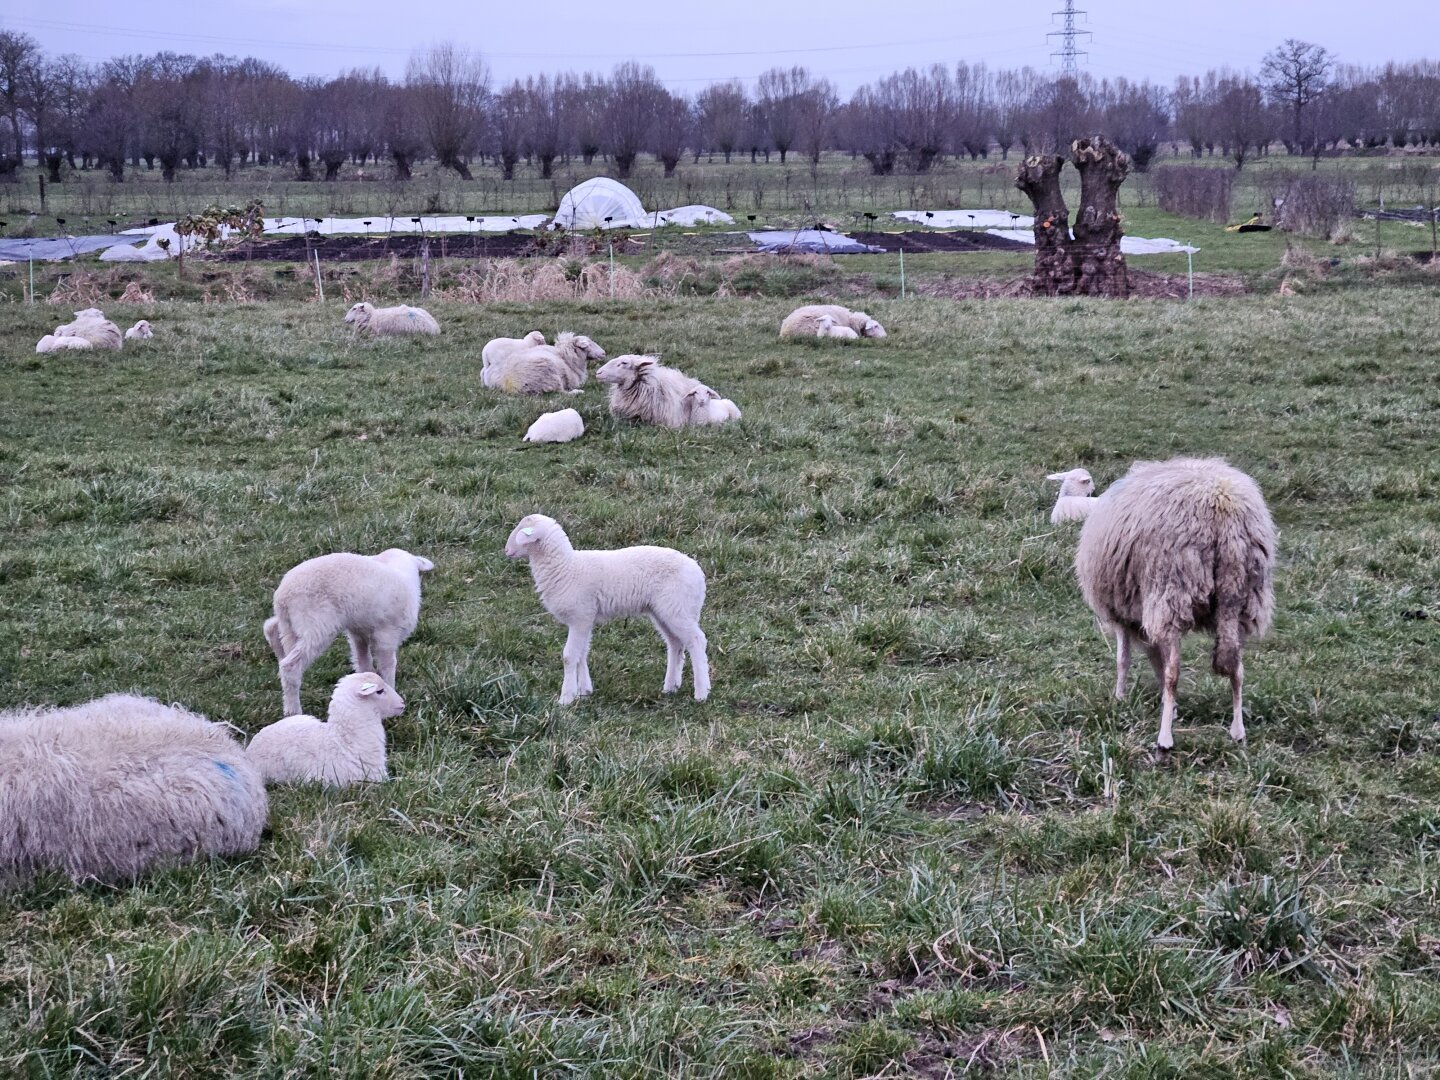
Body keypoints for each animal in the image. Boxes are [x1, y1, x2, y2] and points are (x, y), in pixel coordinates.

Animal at [263, 548, 435, 717]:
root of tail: (282, 597)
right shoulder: (387, 635)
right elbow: (388, 665)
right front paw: (390, 698)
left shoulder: (359, 632)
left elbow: (363, 660)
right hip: (316, 623)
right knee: (290, 666)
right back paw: (294, 710)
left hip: (291, 625)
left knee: (271, 629)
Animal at [505, 513, 710, 705]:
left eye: (522, 531)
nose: (506, 550)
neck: (566, 567)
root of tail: (699, 575)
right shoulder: (586, 617)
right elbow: (582, 653)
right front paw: (584, 691)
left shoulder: (580, 617)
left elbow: (569, 656)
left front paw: (566, 698)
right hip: (664, 611)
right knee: (675, 644)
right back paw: (670, 687)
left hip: (677, 608)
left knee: (697, 640)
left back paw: (702, 692)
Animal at [1074, 457, 1276, 751]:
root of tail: (1225, 516)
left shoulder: (1121, 613)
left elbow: (1123, 659)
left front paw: (1119, 698)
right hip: (1243, 599)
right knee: (1236, 667)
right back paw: (1237, 732)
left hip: (1172, 593)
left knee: (1173, 674)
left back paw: (1165, 738)